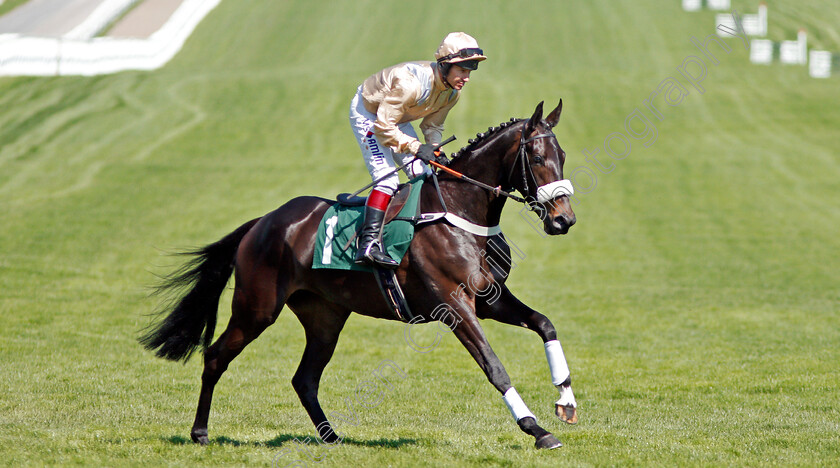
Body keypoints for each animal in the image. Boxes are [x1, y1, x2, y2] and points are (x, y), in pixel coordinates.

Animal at [141, 98, 580, 450]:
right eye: (537, 158)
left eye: (562, 155)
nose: (564, 220)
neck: (458, 210)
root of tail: (263, 222)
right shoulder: (454, 306)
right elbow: (494, 366)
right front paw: (536, 429)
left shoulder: (490, 298)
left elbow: (545, 323)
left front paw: (566, 402)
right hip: (257, 308)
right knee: (216, 357)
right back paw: (200, 433)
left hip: (325, 317)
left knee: (304, 379)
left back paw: (332, 436)